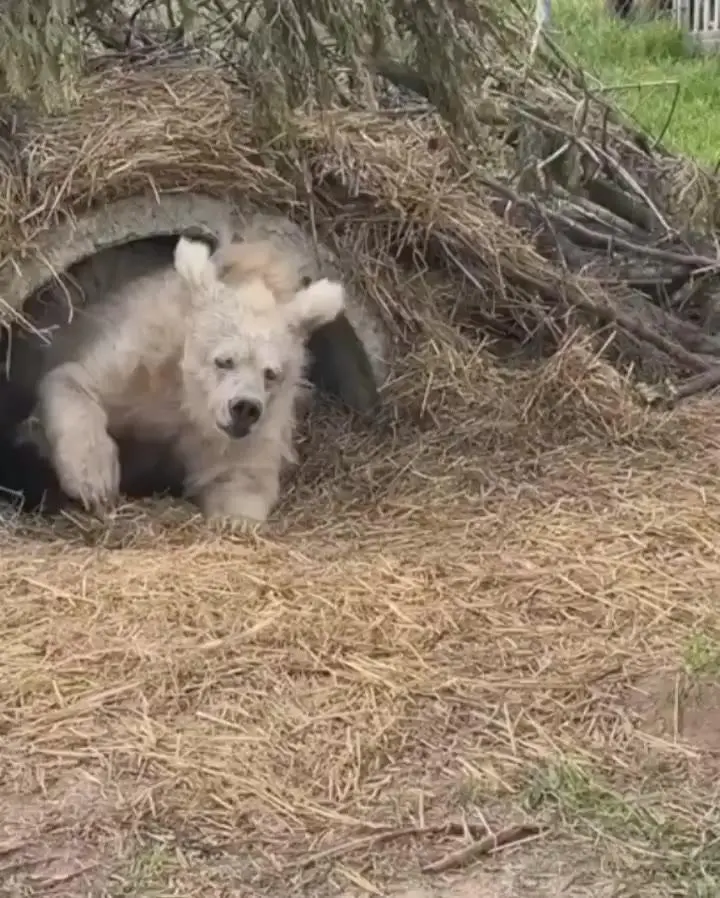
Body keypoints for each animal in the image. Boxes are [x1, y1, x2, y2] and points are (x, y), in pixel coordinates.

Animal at [35, 234, 346, 520]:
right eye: (224, 361)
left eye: (270, 373)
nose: (245, 408)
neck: (189, 396)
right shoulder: (142, 361)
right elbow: (74, 380)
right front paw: (95, 483)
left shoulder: (249, 427)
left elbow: (239, 472)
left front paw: (237, 519)